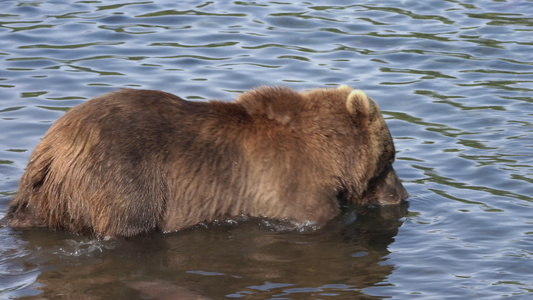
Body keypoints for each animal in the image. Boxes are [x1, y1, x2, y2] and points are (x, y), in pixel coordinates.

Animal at [3, 84, 408, 237]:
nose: (403, 195)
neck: (329, 157)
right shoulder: (295, 191)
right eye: (389, 157)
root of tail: (51, 146)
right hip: (118, 176)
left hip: (46, 196)